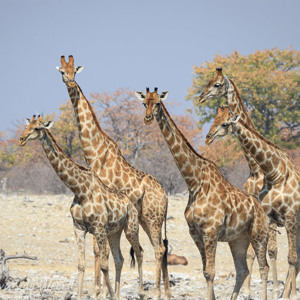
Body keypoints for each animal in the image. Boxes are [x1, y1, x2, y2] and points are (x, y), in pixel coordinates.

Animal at [18, 115, 144, 300]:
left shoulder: (98, 228)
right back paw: (118, 295)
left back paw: (142, 293)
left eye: (37, 128)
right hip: (115, 232)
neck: (80, 190)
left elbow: (104, 265)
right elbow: (81, 265)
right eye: (27, 126)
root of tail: (130, 204)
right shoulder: (78, 228)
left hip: (131, 227)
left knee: (139, 253)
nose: (21, 139)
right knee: (119, 259)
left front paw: (106, 295)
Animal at [55, 55, 170, 300]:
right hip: (145, 219)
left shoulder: (101, 213)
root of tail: (165, 195)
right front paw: (100, 290)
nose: (70, 81)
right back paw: (167, 292)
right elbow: (99, 251)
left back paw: (155, 291)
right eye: (62, 71)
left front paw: (98, 290)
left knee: (158, 248)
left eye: (75, 70)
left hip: (153, 218)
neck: (95, 153)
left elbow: (99, 250)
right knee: (160, 248)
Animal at [135, 88, 270, 298]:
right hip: (238, 239)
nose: (148, 118)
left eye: (157, 102)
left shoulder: (210, 232)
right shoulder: (196, 234)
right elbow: (206, 271)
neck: (194, 182)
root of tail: (262, 209)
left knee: (264, 269)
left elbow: (211, 273)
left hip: (259, 235)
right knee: (242, 270)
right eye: (144, 103)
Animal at [198, 68, 280, 298]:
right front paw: (249, 292)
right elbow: (252, 254)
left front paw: (275, 290)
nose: (201, 97)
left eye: (217, 84)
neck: (255, 167)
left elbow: (270, 251)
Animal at [206, 106, 300, 298]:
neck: (274, 173)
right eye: (214, 120)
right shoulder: (269, 217)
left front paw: (292, 295)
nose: (209, 137)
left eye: (224, 123)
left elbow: (291, 258)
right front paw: (275, 293)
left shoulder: (290, 217)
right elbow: (270, 253)